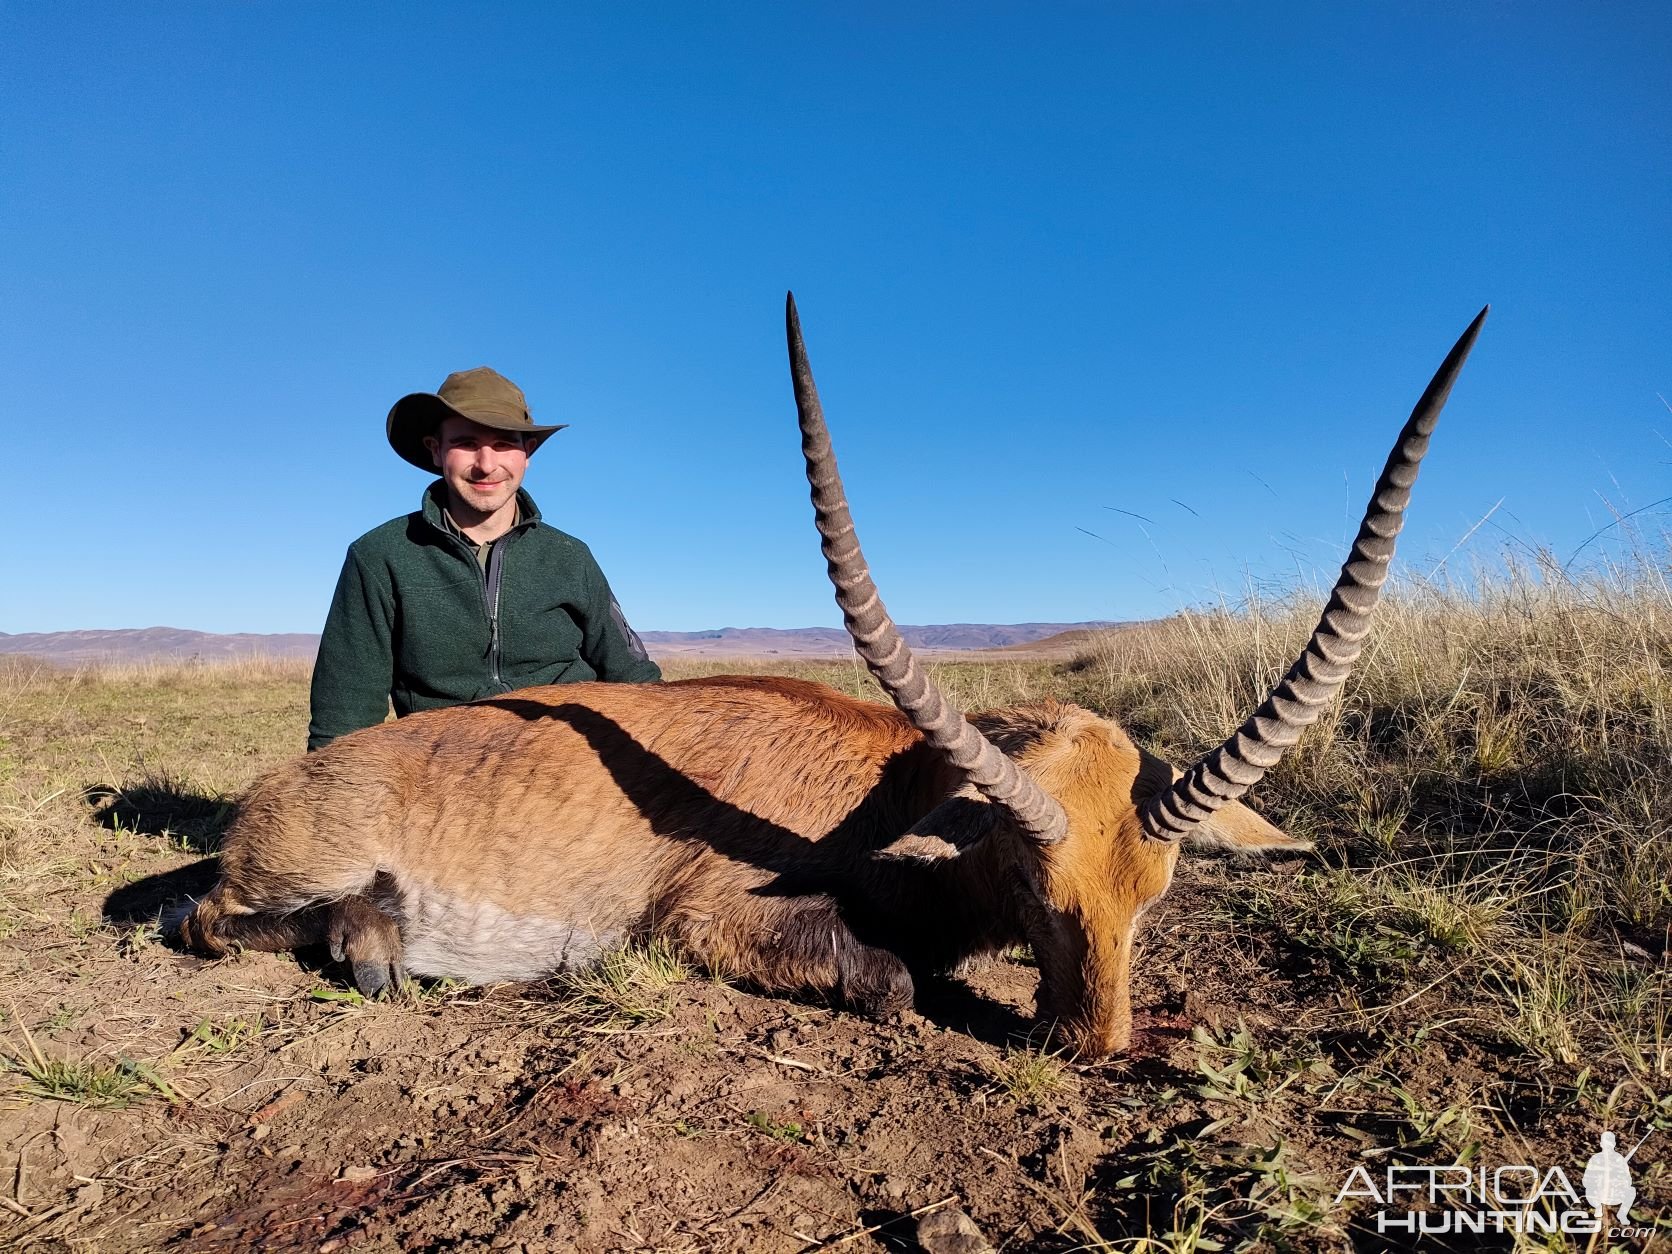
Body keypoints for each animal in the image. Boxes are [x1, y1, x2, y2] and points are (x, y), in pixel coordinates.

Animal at [176, 297, 1484, 1063]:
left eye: (1156, 891)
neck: (892, 791)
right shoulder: (703, 919)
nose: (1093, 1042)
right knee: (208, 920)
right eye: (1031, 881)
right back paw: (372, 943)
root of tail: (280, 787)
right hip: (282, 883)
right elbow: (893, 983)